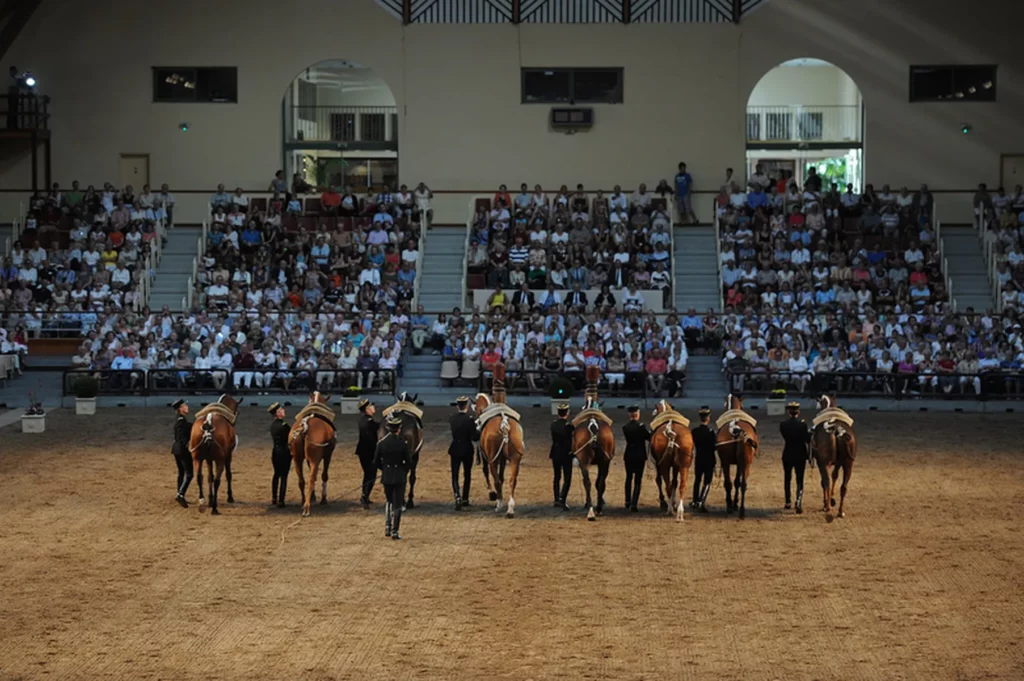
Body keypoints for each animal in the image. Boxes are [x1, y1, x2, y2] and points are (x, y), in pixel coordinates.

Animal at [475, 360, 524, 516]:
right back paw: (510, 508)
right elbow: (502, 477)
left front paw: (493, 495)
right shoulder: (503, 459)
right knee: (512, 480)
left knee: (496, 479)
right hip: (514, 459)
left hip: (493, 459)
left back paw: (499, 503)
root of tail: (504, 423)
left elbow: (489, 474)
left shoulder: (488, 458)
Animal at [569, 366, 614, 520]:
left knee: (587, 482)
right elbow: (599, 482)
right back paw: (598, 508)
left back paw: (590, 508)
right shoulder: (604, 462)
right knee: (600, 482)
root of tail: (593, 423)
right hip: (605, 461)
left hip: (584, 460)